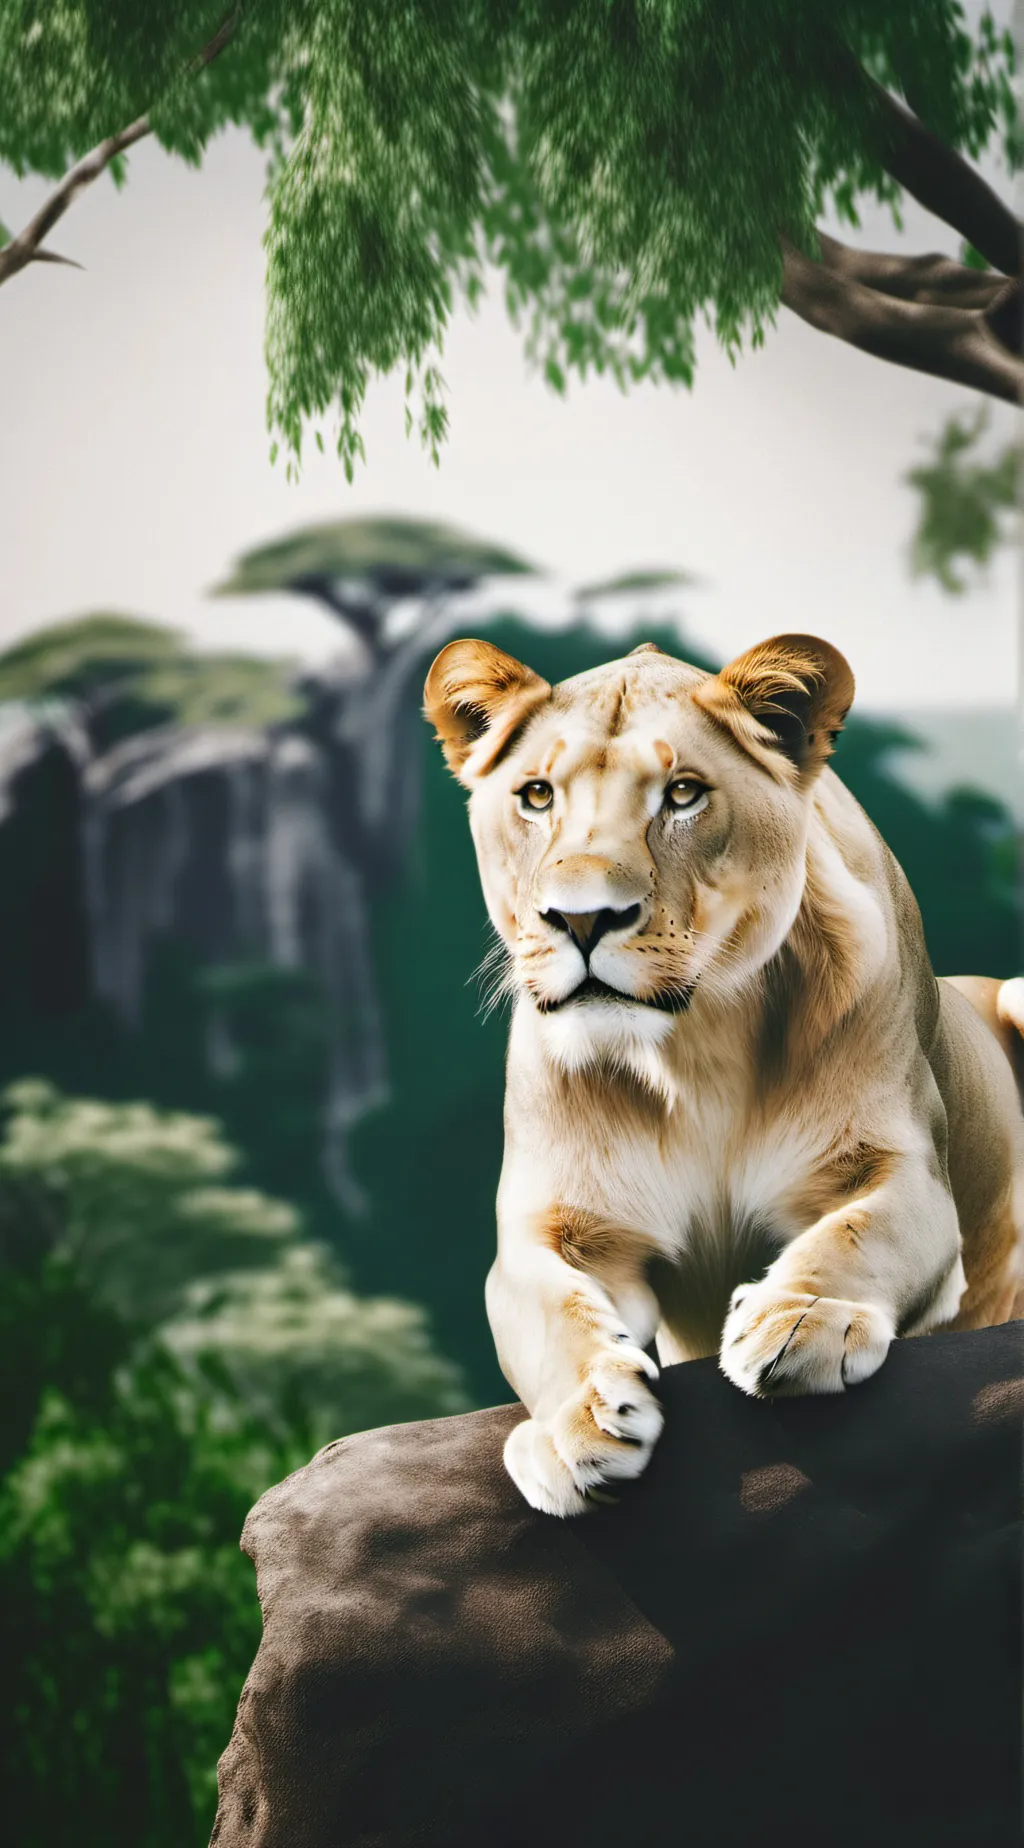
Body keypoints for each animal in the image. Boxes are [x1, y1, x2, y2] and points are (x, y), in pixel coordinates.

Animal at [423, 632, 1024, 1517]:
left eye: (682, 794)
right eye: (536, 796)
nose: (581, 919)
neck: (693, 1045)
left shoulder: (902, 1170)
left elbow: (859, 1232)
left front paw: (802, 1320)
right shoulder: (558, 1225)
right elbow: (549, 1313)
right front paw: (578, 1425)